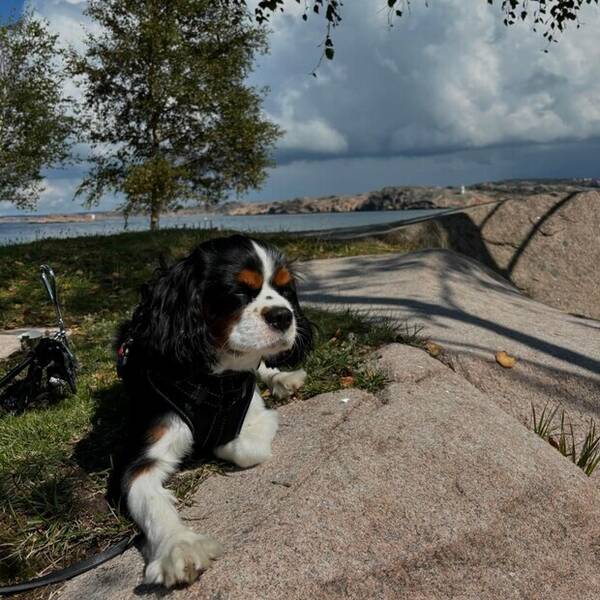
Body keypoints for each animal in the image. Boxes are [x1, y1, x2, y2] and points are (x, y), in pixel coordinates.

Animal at [110, 234, 312, 584]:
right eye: (238, 291)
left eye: (285, 289)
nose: (284, 316)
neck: (213, 381)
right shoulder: (140, 458)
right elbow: (151, 501)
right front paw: (179, 546)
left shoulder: (255, 412)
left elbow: (247, 446)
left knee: (263, 367)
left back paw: (283, 379)